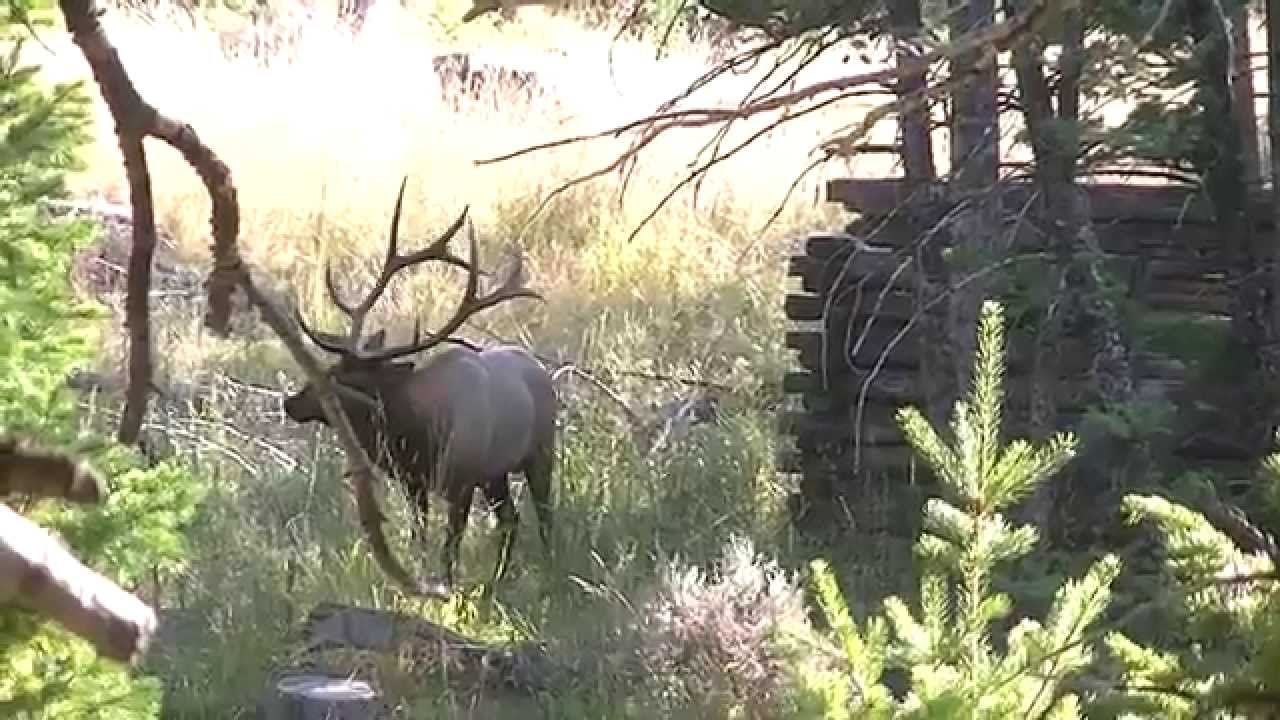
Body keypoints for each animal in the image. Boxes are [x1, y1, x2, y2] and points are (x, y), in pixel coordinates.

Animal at [282, 180, 557, 597]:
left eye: (337, 378)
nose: (290, 402)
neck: (415, 437)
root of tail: (541, 369)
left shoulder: (462, 482)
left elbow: (450, 548)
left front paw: (447, 591)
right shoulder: (414, 484)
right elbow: (419, 539)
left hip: (540, 452)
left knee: (543, 514)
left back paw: (550, 566)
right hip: (496, 474)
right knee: (510, 519)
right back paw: (498, 579)